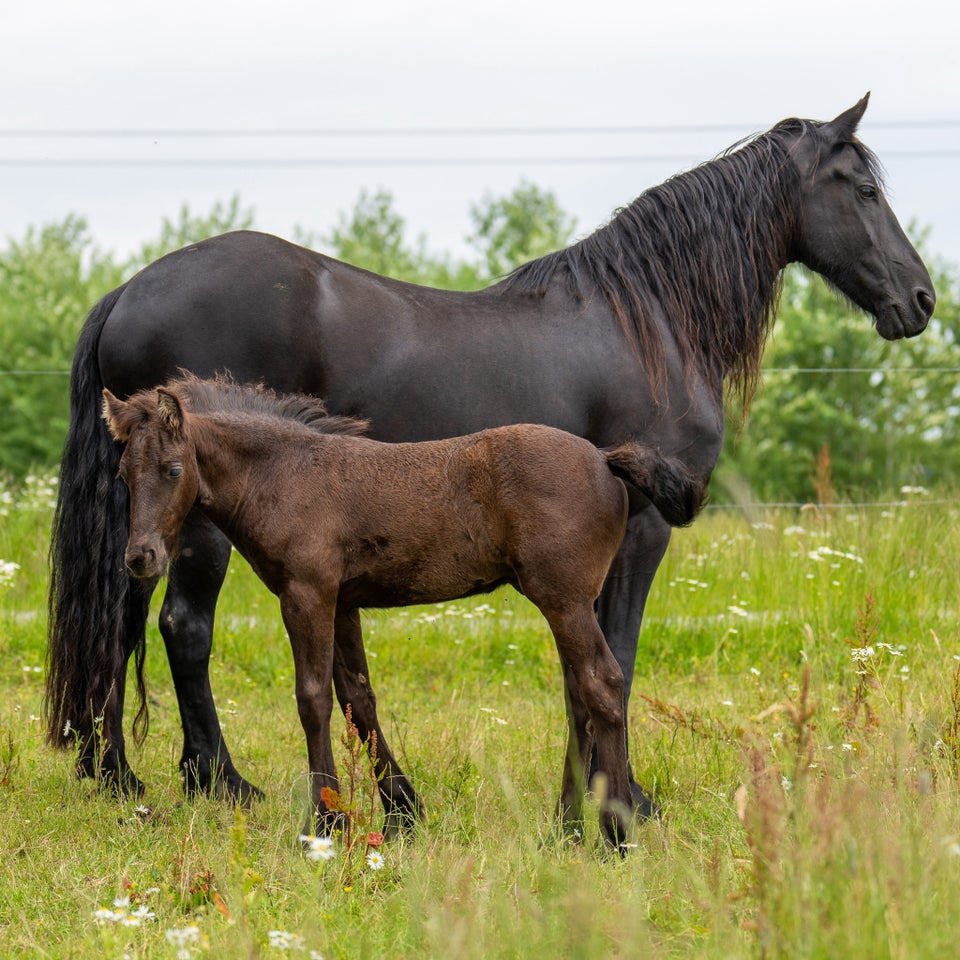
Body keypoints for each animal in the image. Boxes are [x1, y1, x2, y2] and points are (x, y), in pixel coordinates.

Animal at [47, 95, 936, 808]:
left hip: (147, 526)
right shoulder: (643, 531)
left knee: (119, 622)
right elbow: (617, 657)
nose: (922, 298)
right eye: (863, 189)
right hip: (190, 524)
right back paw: (219, 781)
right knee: (183, 628)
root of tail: (127, 290)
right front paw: (621, 800)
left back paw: (120, 776)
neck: (646, 320)